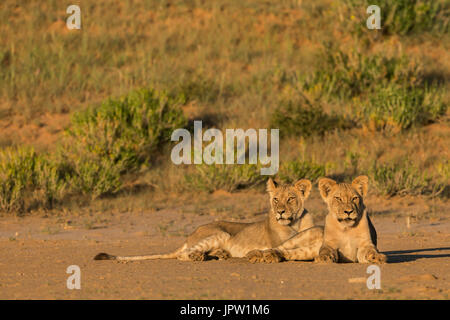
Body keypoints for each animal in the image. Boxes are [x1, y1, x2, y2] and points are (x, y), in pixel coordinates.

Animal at [94, 178, 324, 262]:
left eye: (291, 198)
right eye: (275, 199)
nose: (281, 212)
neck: (294, 223)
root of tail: (188, 236)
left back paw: (220, 254)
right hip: (219, 232)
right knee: (184, 254)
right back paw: (199, 256)